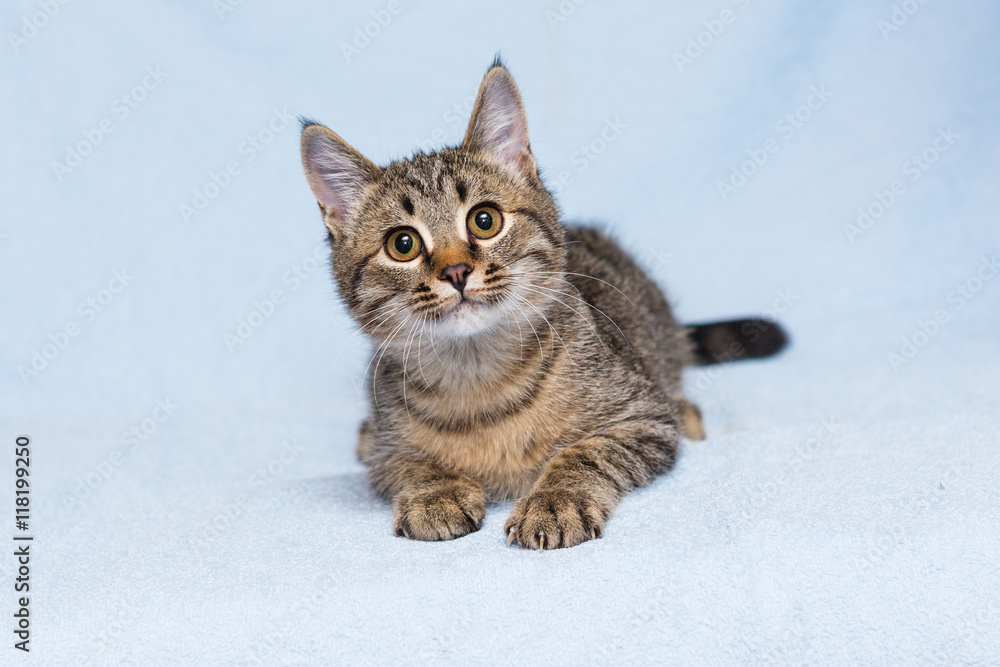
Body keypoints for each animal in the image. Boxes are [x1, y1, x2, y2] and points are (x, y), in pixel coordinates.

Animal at [300, 60, 784, 552]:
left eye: (485, 220)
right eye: (403, 245)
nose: (456, 271)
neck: (478, 381)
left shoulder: (643, 418)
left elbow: (585, 452)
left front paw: (555, 500)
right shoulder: (388, 452)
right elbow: (408, 465)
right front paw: (436, 492)